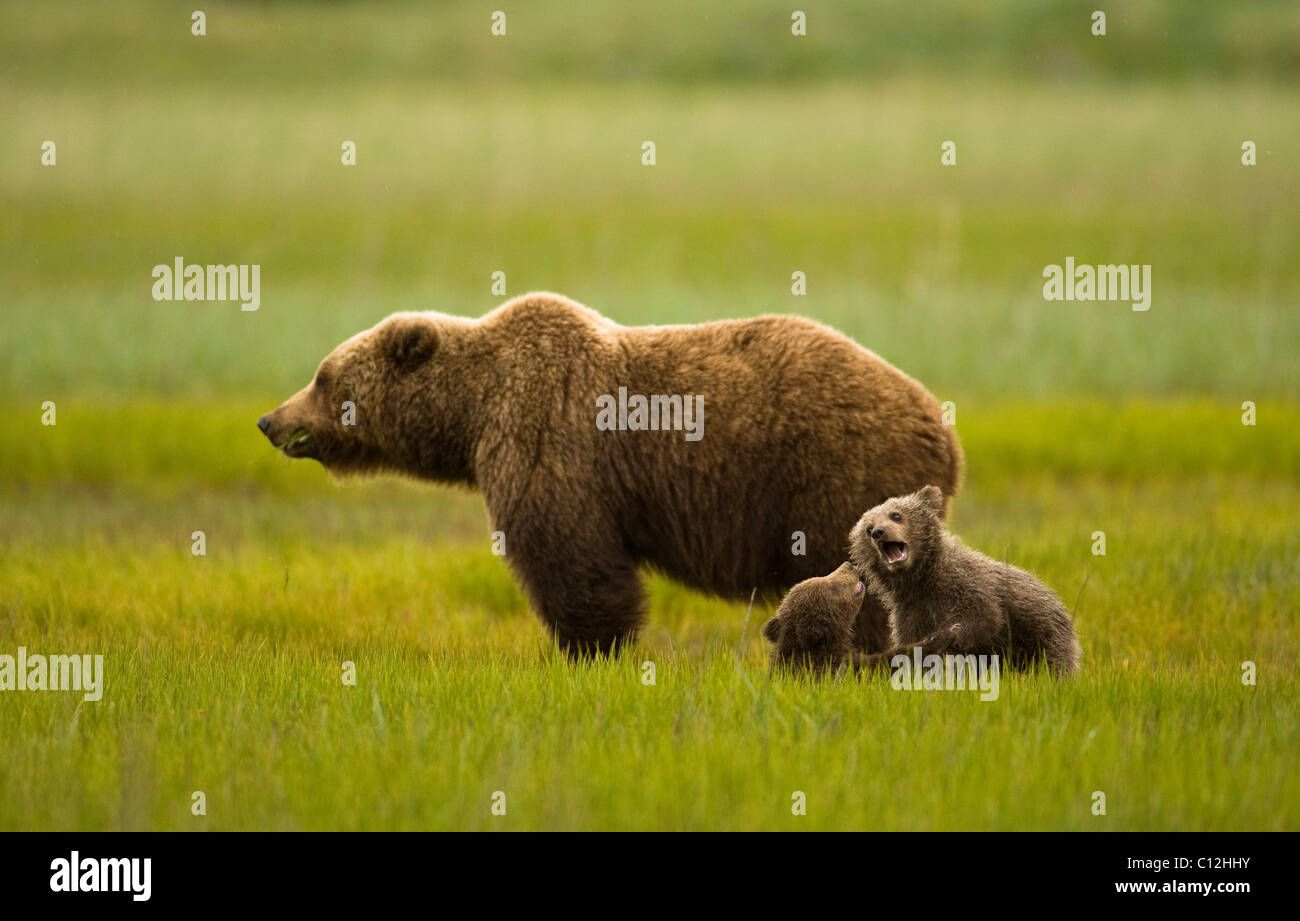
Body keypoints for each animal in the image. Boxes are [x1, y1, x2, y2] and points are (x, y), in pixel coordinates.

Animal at [256, 292, 967, 655]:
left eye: (322, 377)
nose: (269, 420)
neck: (472, 410)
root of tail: (943, 429)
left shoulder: (548, 439)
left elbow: (570, 558)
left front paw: (590, 650)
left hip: (838, 472)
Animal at [847, 486, 1081, 671]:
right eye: (867, 528)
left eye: (895, 515)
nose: (878, 532)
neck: (921, 579)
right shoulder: (910, 611)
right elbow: (912, 647)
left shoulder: (965, 585)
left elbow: (986, 617)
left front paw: (951, 634)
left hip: (1044, 634)